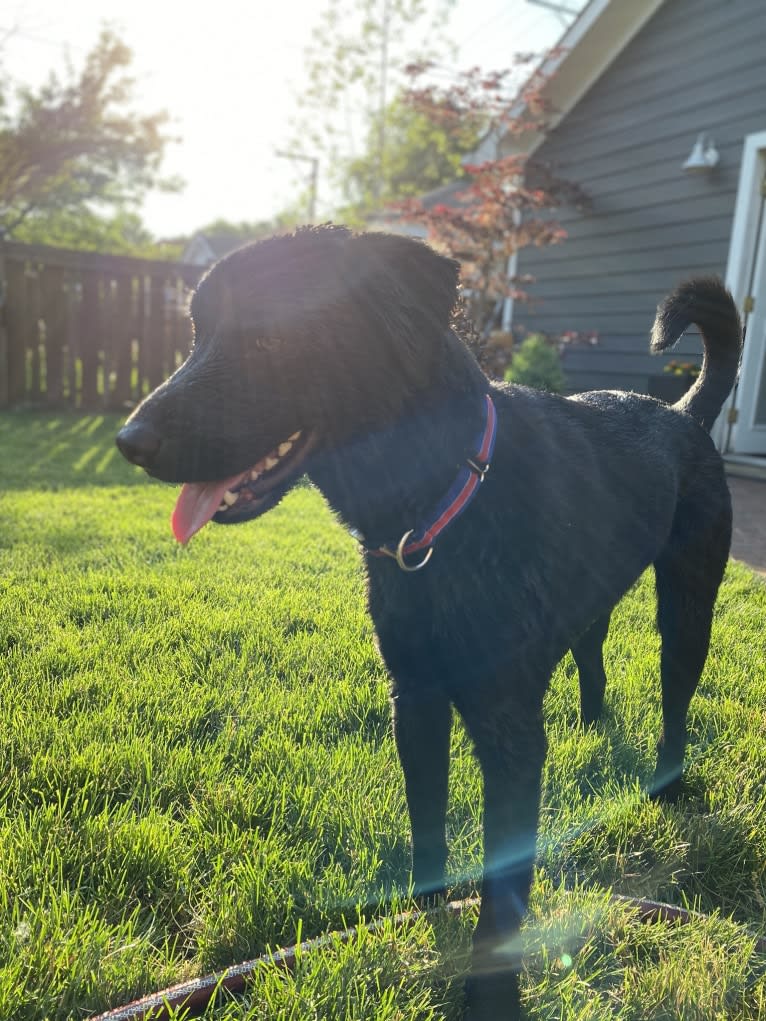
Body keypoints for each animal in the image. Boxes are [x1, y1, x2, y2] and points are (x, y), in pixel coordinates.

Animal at [118, 227, 743, 1016]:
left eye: (268, 335)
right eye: (197, 330)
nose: (129, 441)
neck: (445, 497)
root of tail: (684, 412)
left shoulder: (508, 734)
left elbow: (503, 892)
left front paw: (492, 995)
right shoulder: (413, 697)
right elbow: (427, 821)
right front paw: (423, 910)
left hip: (688, 605)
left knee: (675, 695)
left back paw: (665, 779)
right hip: (595, 602)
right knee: (592, 653)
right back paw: (593, 723)